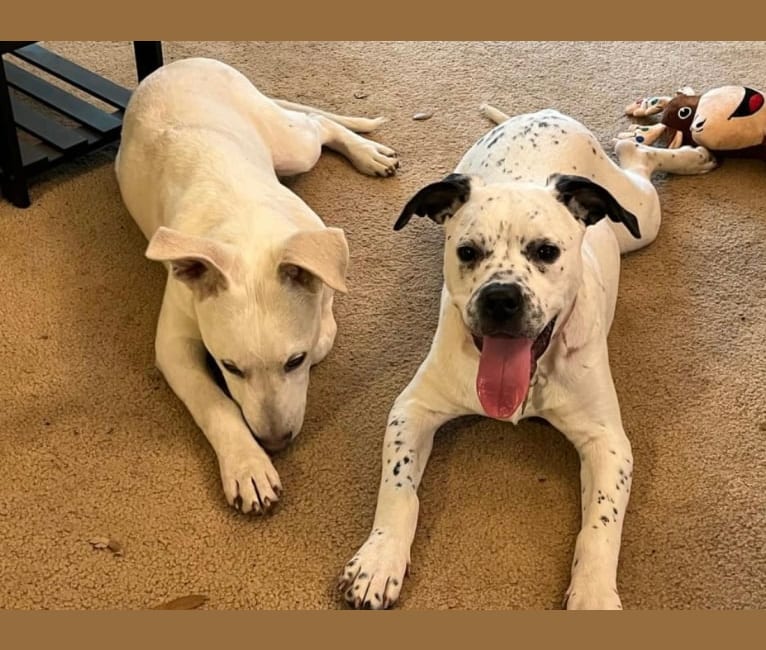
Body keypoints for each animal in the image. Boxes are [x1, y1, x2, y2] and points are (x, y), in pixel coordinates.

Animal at [118, 58, 402, 512]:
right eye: (230, 366)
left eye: (294, 361)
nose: (274, 442)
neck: (246, 233)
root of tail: (184, 62)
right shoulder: (174, 348)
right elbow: (214, 404)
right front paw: (248, 466)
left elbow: (324, 324)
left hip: (291, 147)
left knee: (317, 124)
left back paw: (367, 153)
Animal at [340, 105, 716, 608]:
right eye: (467, 251)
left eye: (546, 251)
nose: (501, 298)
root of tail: (541, 113)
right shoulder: (412, 409)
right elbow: (398, 488)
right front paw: (380, 559)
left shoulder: (607, 442)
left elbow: (600, 524)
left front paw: (593, 593)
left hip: (639, 221)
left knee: (638, 162)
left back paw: (686, 154)